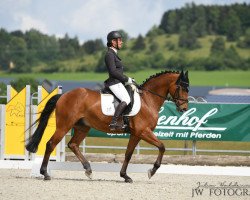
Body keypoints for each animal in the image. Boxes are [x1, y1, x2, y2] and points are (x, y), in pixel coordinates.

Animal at [25, 70, 189, 183]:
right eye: (181, 87)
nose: (184, 108)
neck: (148, 100)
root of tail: (64, 95)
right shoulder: (143, 132)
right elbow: (162, 146)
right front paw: (152, 171)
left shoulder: (136, 134)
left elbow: (128, 154)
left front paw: (125, 176)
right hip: (64, 126)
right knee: (50, 144)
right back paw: (45, 173)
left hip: (82, 127)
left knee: (73, 144)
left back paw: (88, 170)